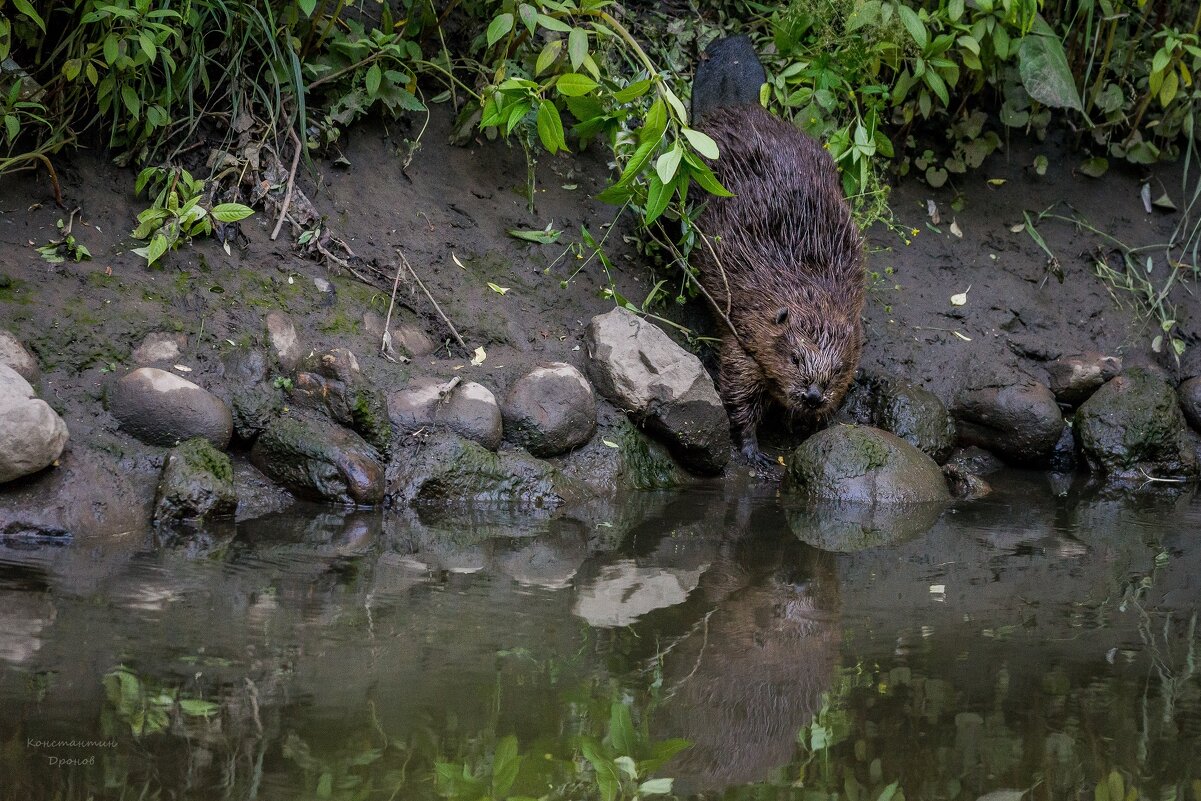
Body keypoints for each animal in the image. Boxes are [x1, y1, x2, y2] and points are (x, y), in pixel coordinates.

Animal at [696, 34, 864, 465]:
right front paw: (753, 450)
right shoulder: (744, 327)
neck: (807, 287)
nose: (812, 395)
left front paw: (808, 423)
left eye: (839, 369)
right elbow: (736, 387)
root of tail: (738, 104)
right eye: (795, 358)